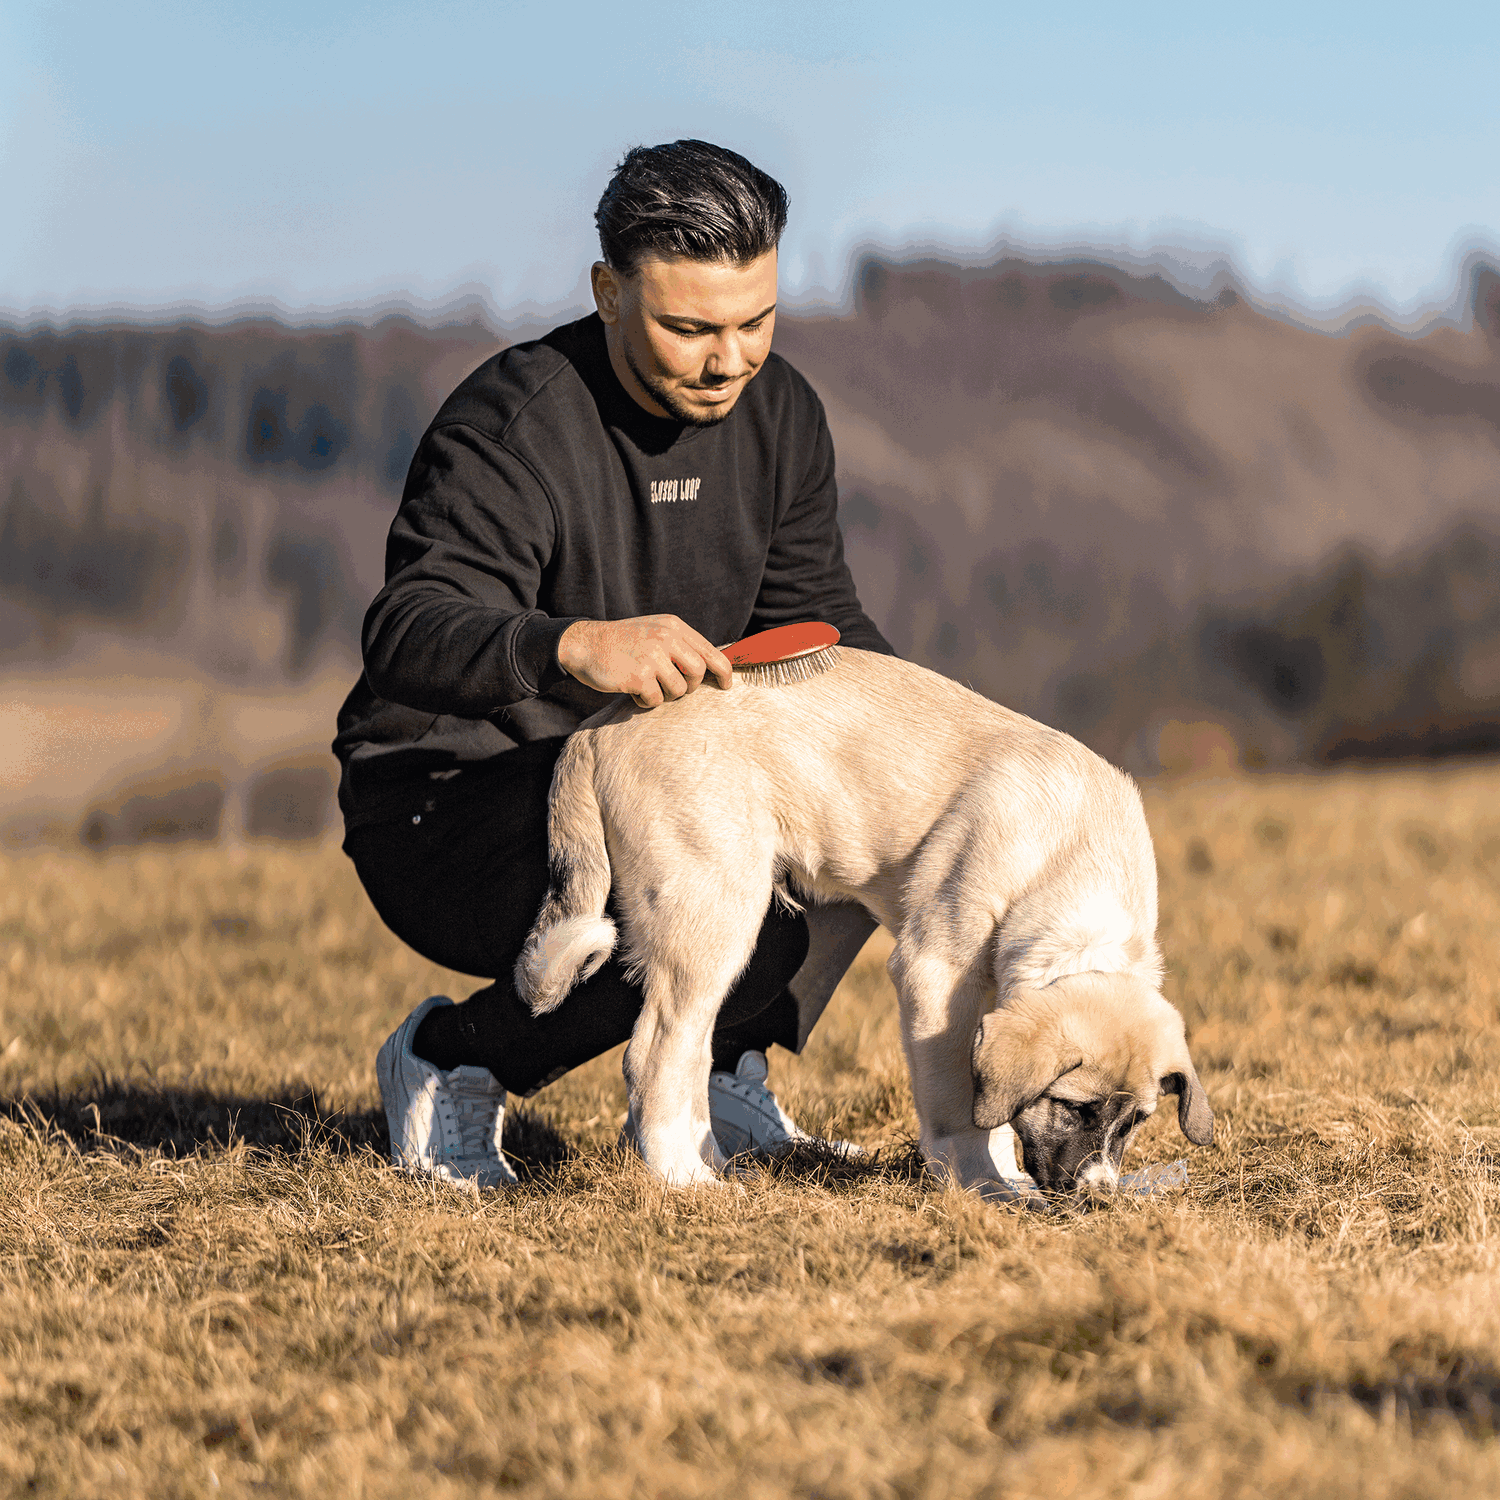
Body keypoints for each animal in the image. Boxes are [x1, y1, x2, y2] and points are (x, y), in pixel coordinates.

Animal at [516, 651, 1218, 1200]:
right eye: (1075, 1107)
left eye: (1136, 1123)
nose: (1097, 1196)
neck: (1072, 863)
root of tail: (596, 729)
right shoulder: (935, 972)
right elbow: (959, 1103)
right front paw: (981, 1186)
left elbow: (987, 1095)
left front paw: (1004, 1175)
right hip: (711, 914)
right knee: (652, 1055)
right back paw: (680, 1180)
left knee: (690, 1051)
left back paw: (711, 1163)